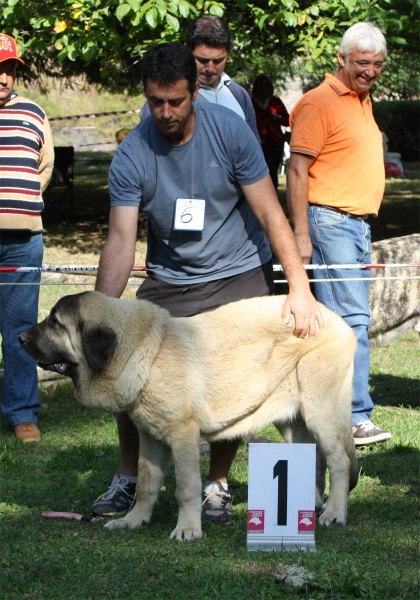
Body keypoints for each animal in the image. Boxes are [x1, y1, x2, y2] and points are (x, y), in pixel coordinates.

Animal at [20, 292, 358, 540]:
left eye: (55, 323)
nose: (21, 338)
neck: (142, 352)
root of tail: (336, 320)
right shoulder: (150, 438)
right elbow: (146, 483)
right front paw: (133, 520)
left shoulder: (182, 436)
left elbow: (185, 487)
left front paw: (187, 529)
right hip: (291, 421)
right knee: (315, 458)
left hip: (321, 411)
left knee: (339, 461)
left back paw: (334, 513)